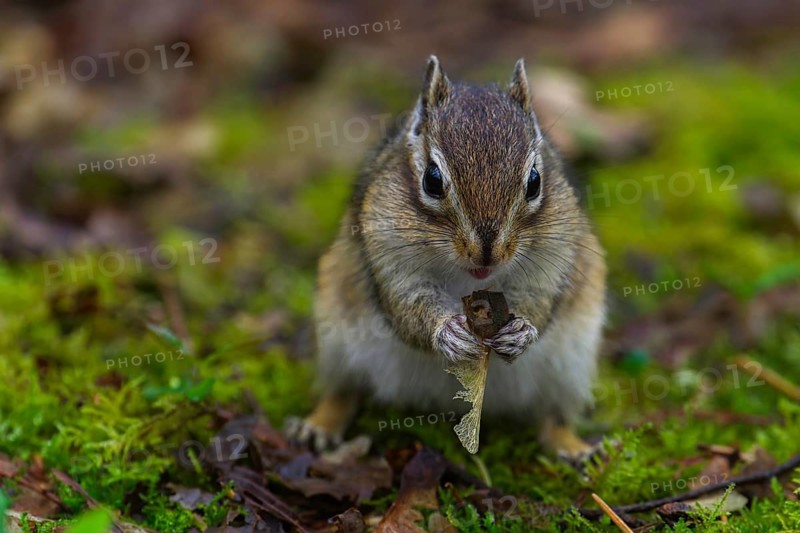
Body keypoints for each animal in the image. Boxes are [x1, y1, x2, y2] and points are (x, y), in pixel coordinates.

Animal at [286, 56, 607, 458]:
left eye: (534, 181)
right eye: (432, 179)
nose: (487, 254)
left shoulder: (555, 259)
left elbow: (541, 301)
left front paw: (521, 331)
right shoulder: (388, 262)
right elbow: (407, 307)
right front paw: (448, 333)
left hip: (569, 370)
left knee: (552, 417)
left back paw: (575, 448)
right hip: (336, 347)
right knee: (344, 393)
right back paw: (318, 426)